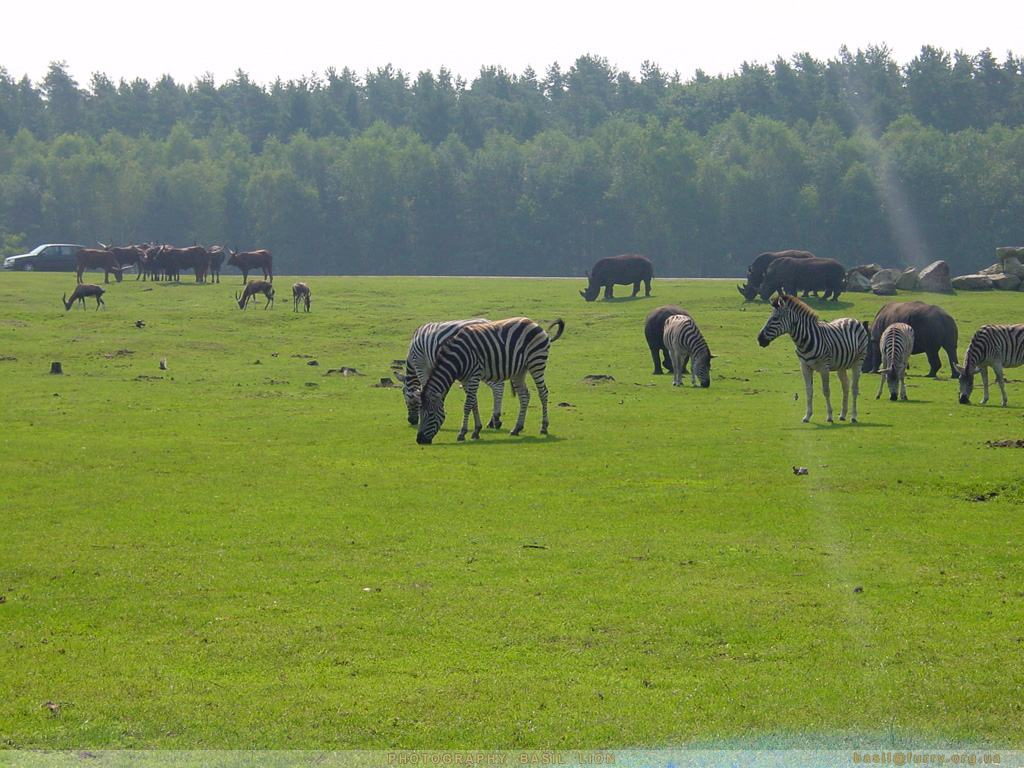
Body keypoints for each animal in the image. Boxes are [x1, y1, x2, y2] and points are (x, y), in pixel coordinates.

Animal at [415, 317, 569, 444]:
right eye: (419, 412)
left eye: (429, 415)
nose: (420, 440)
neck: (458, 358)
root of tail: (533, 323)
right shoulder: (465, 379)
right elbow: (474, 404)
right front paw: (476, 430)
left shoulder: (474, 375)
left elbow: (467, 405)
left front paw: (462, 433)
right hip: (520, 370)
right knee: (524, 396)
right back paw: (517, 428)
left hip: (537, 362)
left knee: (543, 393)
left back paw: (544, 427)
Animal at [757, 296, 868, 428]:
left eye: (775, 318)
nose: (759, 339)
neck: (805, 340)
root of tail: (852, 319)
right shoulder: (804, 367)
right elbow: (809, 391)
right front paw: (807, 416)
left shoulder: (824, 367)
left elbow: (826, 390)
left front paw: (829, 416)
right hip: (841, 365)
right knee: (845, 385)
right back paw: (842, 415)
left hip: (859, 360)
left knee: (854, 387)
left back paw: (853, 416)